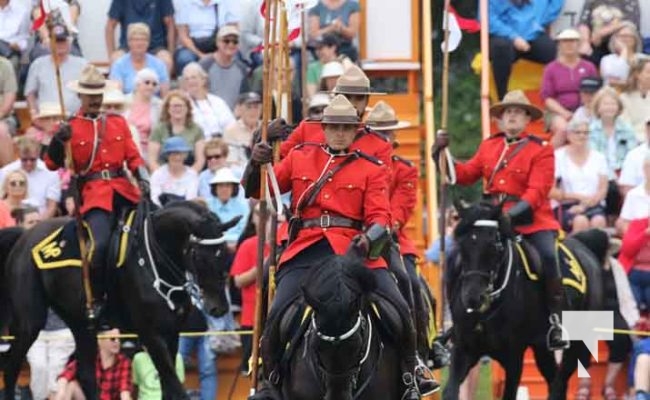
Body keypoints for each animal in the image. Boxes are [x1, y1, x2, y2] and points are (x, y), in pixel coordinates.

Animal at [0, 202, 238, 398]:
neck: (154, 260)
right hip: (29, 323)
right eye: (197, 255)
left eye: (223, 252)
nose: (218, 308)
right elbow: (175, 388)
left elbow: (169, 387)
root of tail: (24, 236)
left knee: (86, 374)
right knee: (11, 369)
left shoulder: (171, 333)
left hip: (81, 324)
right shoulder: (150, 334)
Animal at [442, 203, 600, 400]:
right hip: (541, 349)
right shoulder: (464, 350)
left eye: (495, 247)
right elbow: (450, 391)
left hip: (578, 344)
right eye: (462, 246)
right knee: (555, 381)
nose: (472, 298)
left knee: (559, 383)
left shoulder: (513, 357)